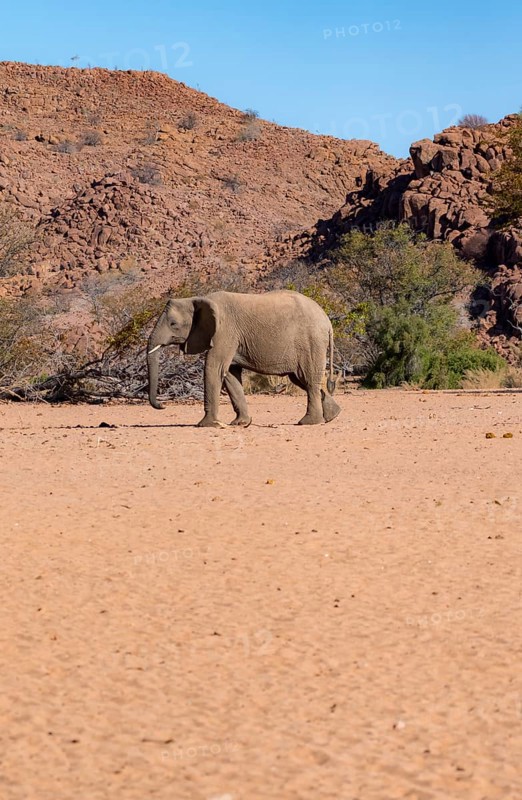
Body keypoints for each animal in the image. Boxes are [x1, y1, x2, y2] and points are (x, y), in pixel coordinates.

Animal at [146, 289, 341, 428]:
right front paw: (241, 424)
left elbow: (214, 368)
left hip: (311, 342)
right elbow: (230, 374)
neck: (198, 298)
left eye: (173, 324)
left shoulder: (224, 332)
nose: (163, 406)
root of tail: (327, 321)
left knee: (308, 379)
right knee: (301, 379)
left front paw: (206, 425)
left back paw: (308, 422)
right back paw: (332, 416)